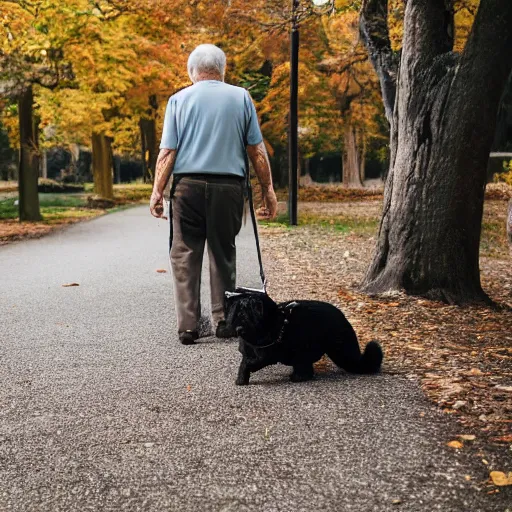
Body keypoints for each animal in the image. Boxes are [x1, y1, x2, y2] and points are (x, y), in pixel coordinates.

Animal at [225, 290, 384, 386]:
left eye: (249, 316)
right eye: (236, 315)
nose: (239, 329)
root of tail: (344, 318)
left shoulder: (266, 354)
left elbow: (250, 362)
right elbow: (244, 363)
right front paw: (241, 379)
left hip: (335, 348)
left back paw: (298, 377)